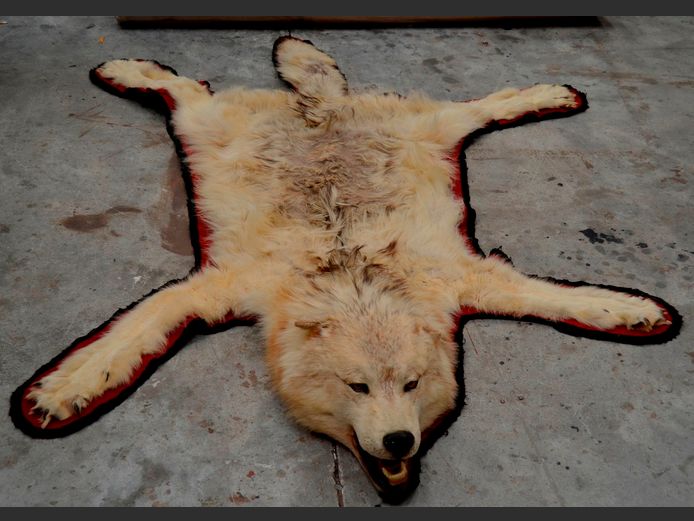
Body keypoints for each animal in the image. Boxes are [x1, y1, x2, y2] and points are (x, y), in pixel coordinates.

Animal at [13, 36, 679, 503]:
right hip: (205, 127)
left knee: (478, 107)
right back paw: (128, 70)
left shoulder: (464, 279)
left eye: (412, 385)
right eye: (357, 387)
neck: (353, 277)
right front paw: (62, 391)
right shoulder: (219, 288)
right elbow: (128, 335)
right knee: (185, 90)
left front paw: (633, 311)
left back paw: (548, 95)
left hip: (430, 131)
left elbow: (555, 298)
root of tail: (323, 109)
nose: (400, 442)